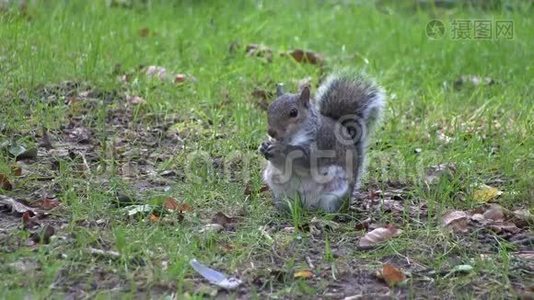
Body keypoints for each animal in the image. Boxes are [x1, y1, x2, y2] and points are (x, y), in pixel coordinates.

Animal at [260, 69, 386, 211]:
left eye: (293, 112)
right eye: (269, 108)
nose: (271, 132)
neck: (291, 138)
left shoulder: (323, 142)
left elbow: (305, 158)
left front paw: (280, 149)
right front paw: (263, 146)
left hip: (334, 192)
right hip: (278, 188)